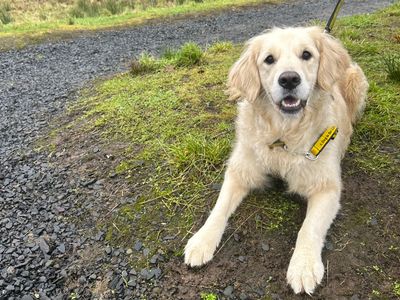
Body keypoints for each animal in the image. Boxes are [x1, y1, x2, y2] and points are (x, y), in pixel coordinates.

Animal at [184, 27, 368, 294]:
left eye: (306, 54)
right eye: (269, 59)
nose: (289, 79)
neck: (283, 133)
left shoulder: (327, 187)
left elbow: (309, 227)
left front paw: (303, 265)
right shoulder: (240, 170)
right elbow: (218, 208)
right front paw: (201, 240)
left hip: (356, 79)